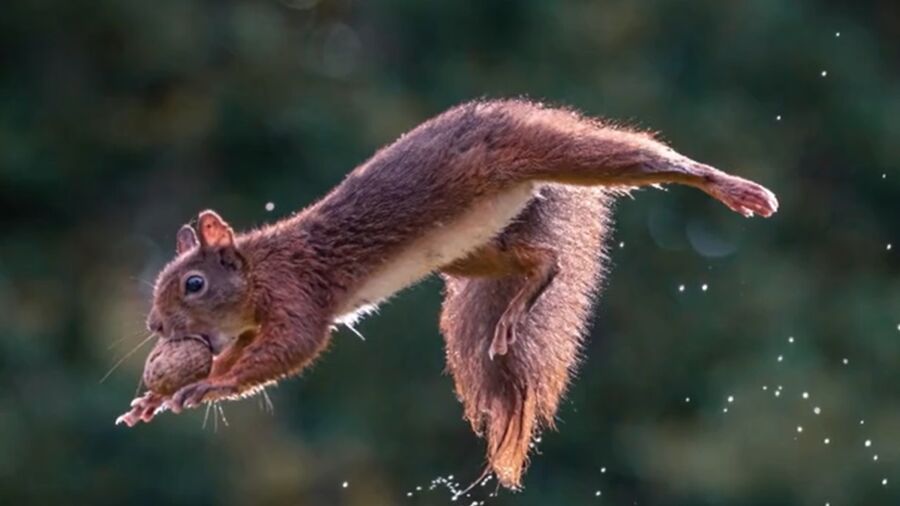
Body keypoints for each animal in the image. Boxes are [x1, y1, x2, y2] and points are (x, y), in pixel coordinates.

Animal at [117, 99, 778, 489]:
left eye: (193, 284)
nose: (154, 328)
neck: (258, 271)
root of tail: (511, 109)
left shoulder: (297, 297)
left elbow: (291, 350)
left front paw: (207, 386)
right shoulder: (253, 324)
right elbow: (242, 354)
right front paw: (156, 399)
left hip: (547, 153)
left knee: (632, 160)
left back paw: (725, 185)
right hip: (470, 250)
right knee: (546, 260)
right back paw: (519, 304)